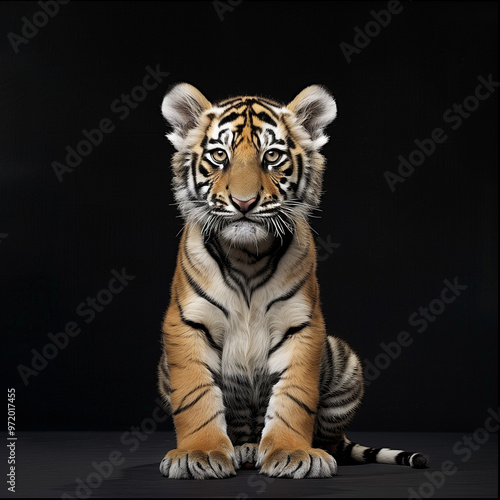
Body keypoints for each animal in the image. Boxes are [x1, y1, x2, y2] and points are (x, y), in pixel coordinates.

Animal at [155, 84, 426, 478]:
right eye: (220, 155)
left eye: (272, 156)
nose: (244, 202)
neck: (247, 257)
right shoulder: (185, 323)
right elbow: (195, 395)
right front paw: (199, 453)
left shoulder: (303, 324)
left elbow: (295, 397)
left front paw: (292, 452)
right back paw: (243, 449)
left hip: (344, 359)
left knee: (330, 439)